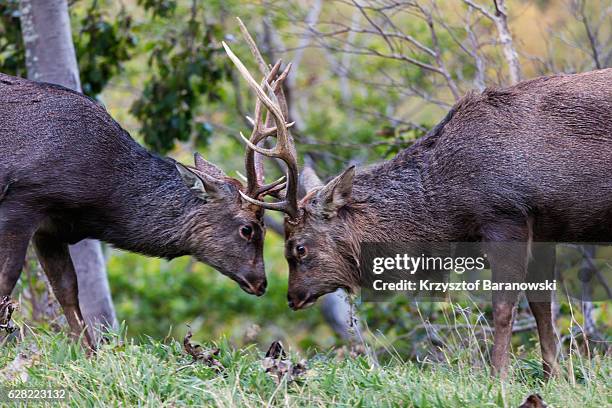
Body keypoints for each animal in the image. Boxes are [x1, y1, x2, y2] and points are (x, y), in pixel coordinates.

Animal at [0, 58, 286, 344]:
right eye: (247, 229)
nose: (261, 283)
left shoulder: (51, 228)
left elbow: (67, 290)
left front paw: (89, 352)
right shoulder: (25, 198)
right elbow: (8, 278)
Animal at [228, 46, 612, 378]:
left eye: (299, 248)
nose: (292, 297)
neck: (452, 198)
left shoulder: (506, 211)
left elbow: (504, 308)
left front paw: (498, 378)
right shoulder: (545, 226)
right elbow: (542, 307)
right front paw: (554, 378)